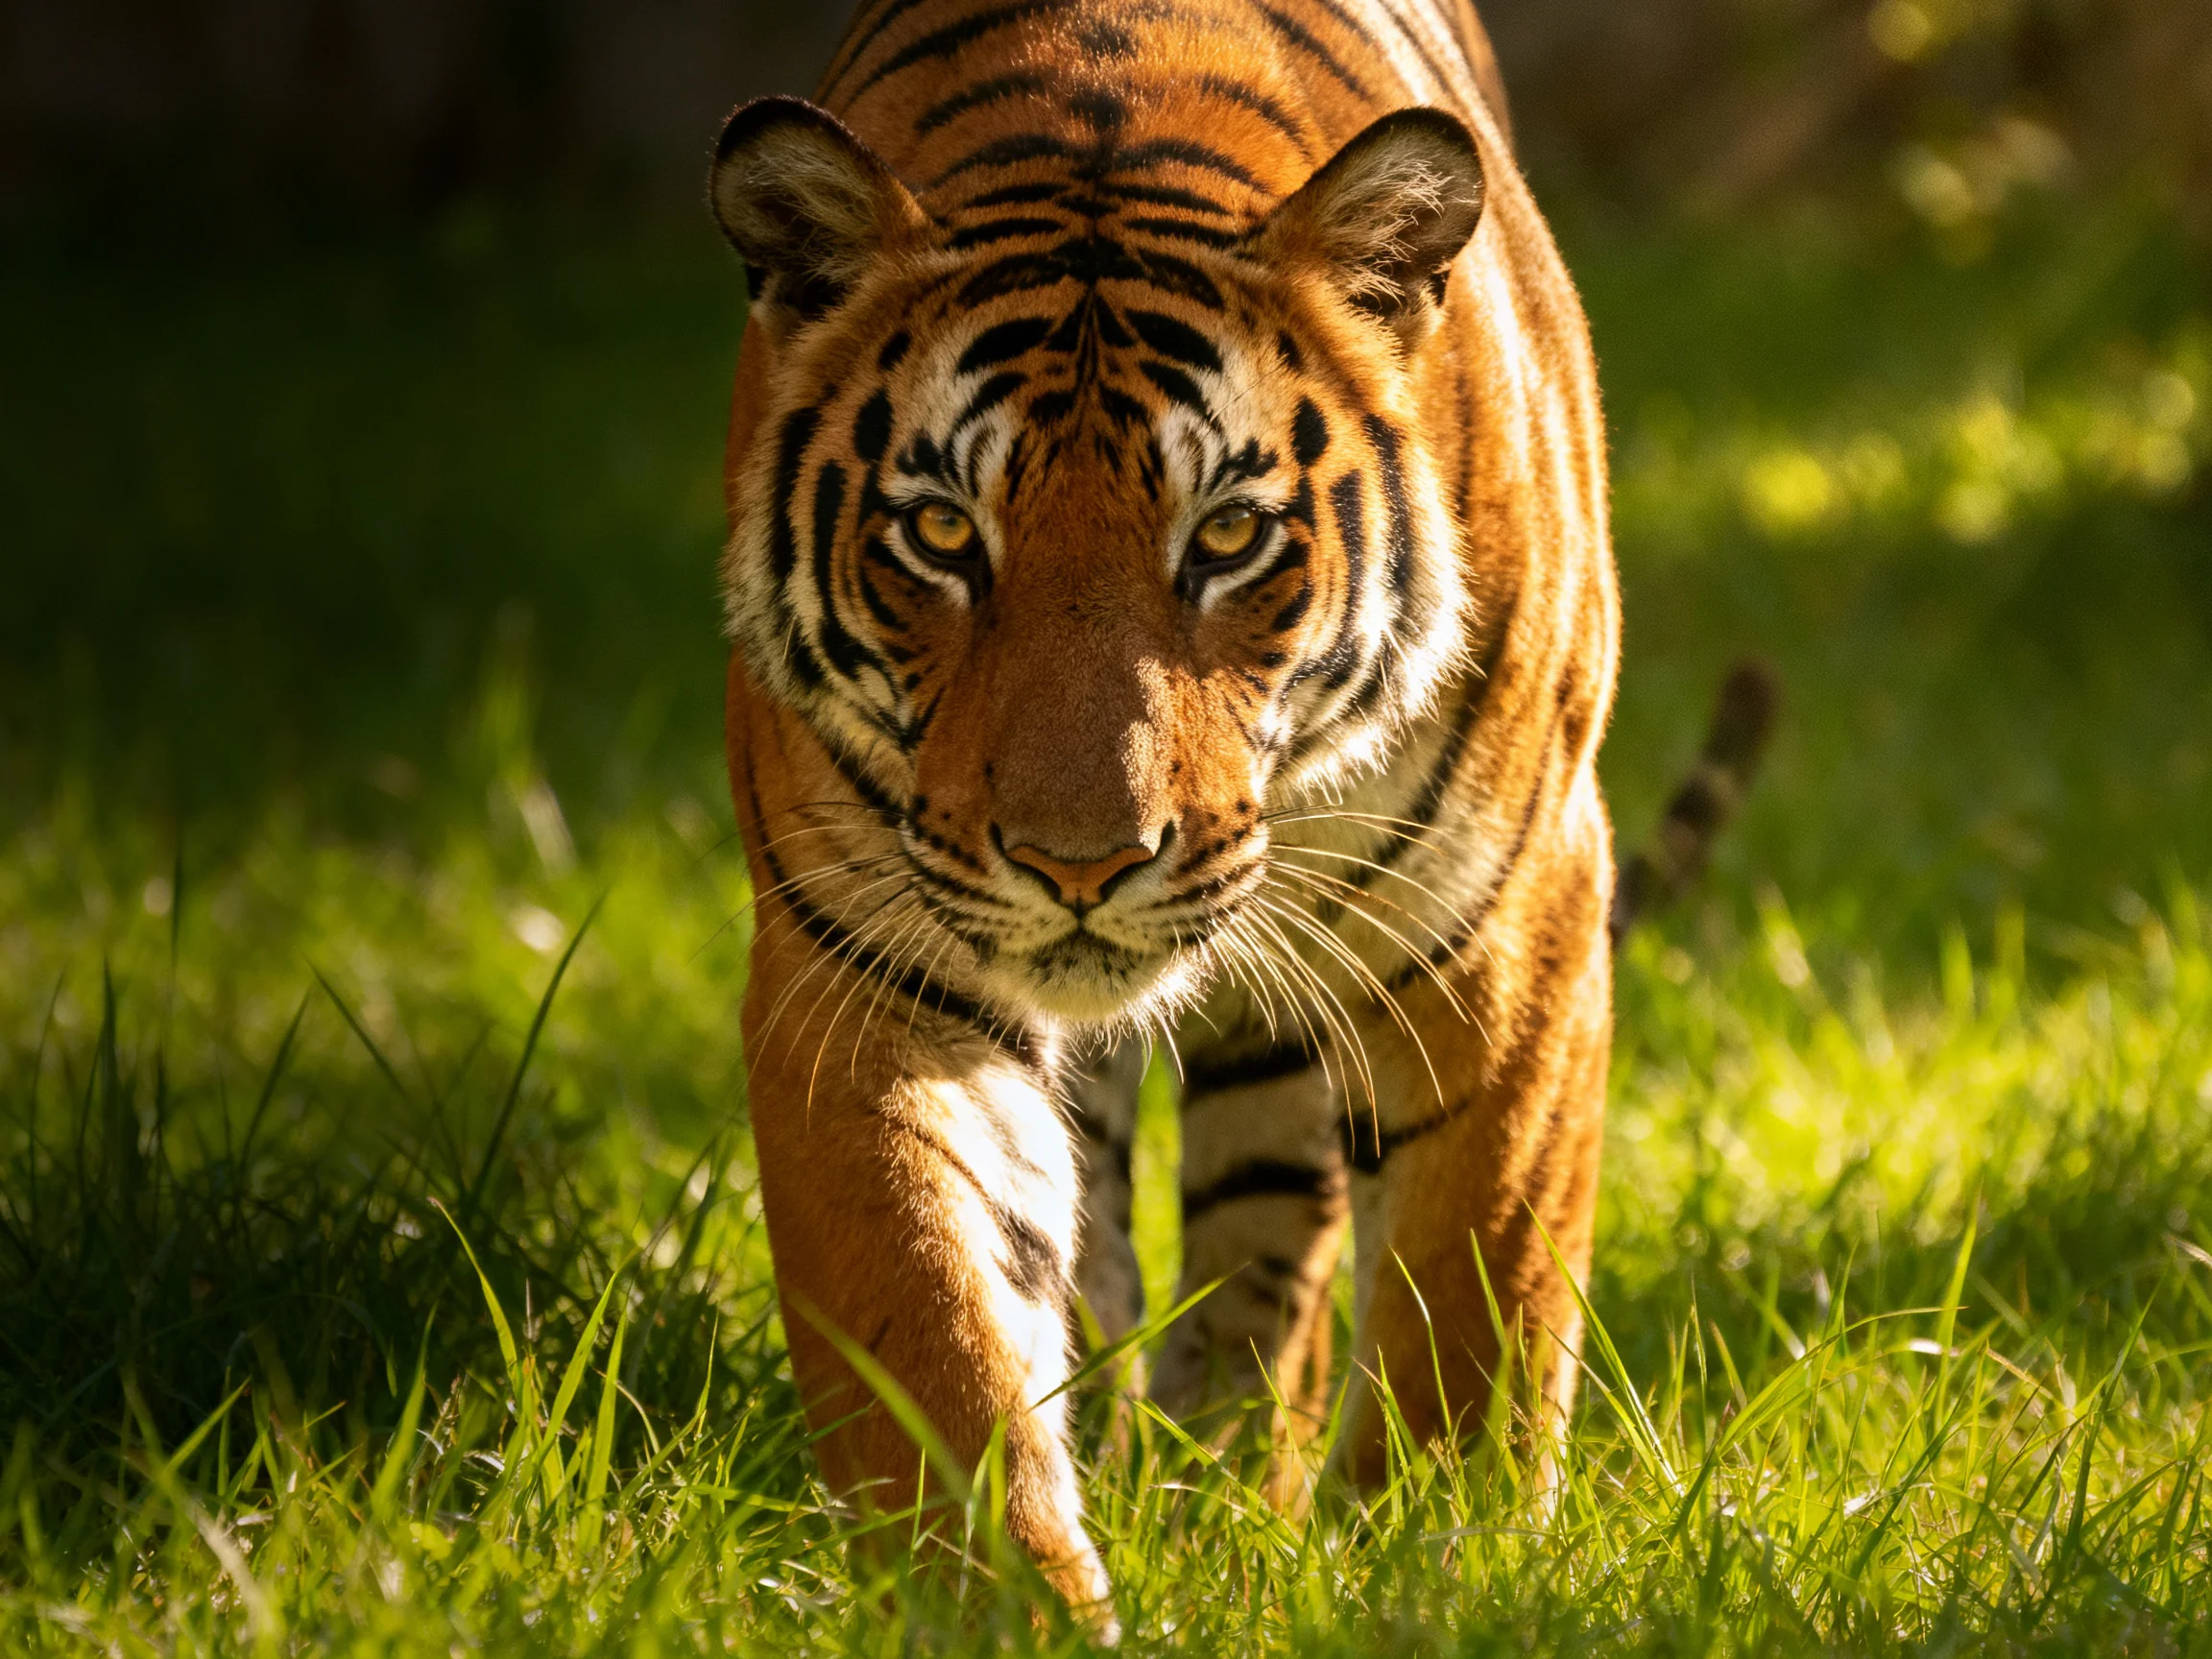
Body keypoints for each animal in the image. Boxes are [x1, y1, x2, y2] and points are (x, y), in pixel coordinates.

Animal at [710, 0, 1630, 1627]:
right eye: (940, 532)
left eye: (1231, 537)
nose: (1082, 866)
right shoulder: (861, 966)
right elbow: (935, 1321)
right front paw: (1001, 1613)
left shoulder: (1510, 920)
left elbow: (1474, 1311)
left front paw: (1441, 1579)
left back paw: (1230, 1491)